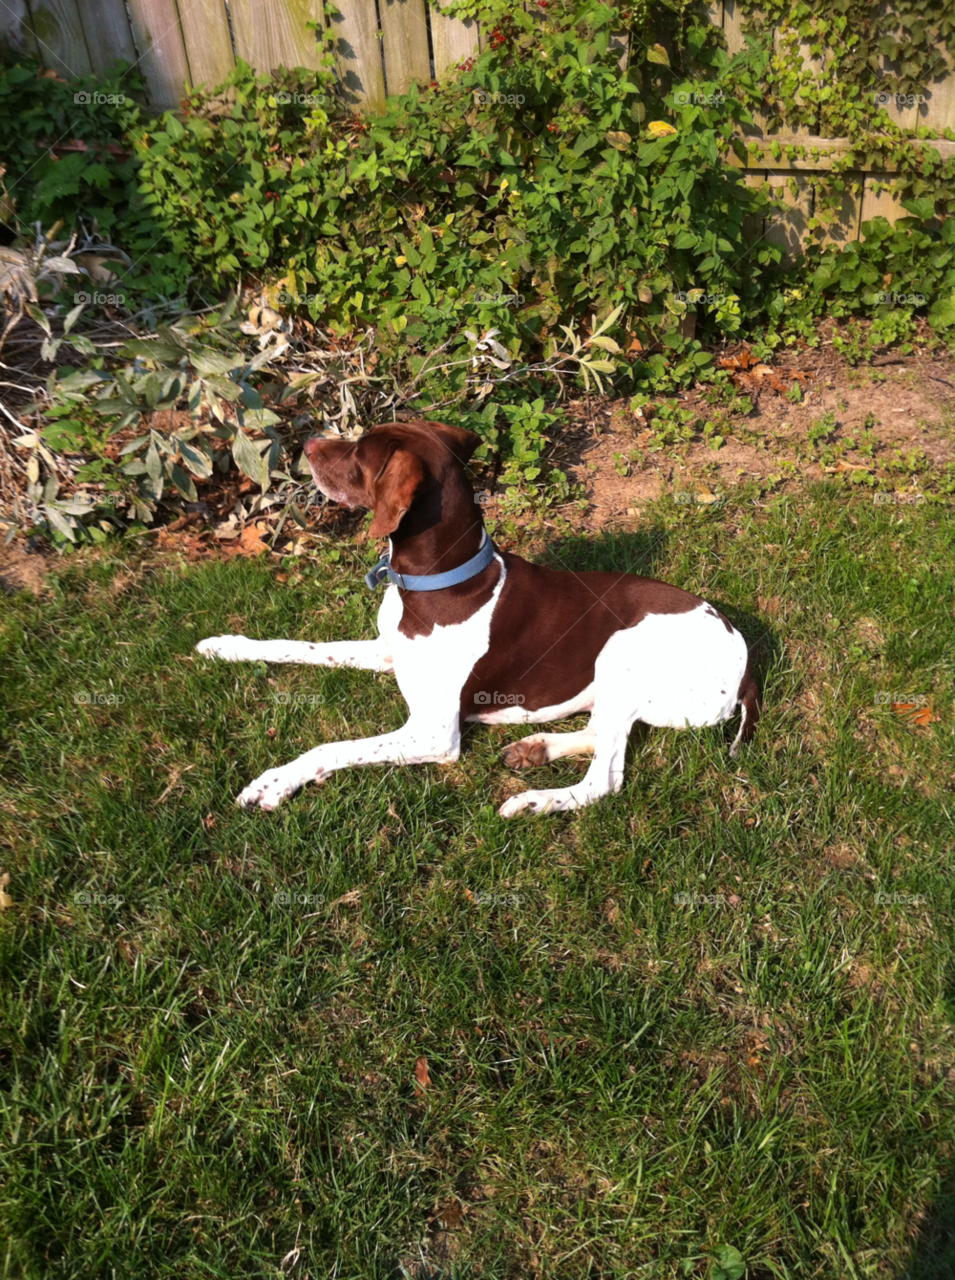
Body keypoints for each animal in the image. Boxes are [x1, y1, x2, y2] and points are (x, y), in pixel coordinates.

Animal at [195, 422, 757, 819]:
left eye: (360, 453)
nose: (308, 444)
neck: (436, 583)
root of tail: (746, 661)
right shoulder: (385, 651)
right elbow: (298, 645)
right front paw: (227, 646)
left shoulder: (431, 733)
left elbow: (331, 747)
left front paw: (274, 782)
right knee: (599, 731)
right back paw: (535, 748)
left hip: (621, 649)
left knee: (605, 778)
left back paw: (535, 800)